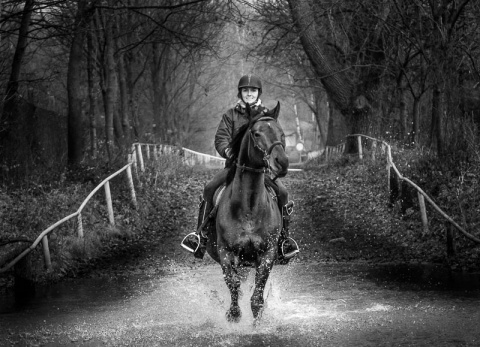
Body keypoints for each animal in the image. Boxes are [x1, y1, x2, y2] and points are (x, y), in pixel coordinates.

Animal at [205, 101, 288, 324]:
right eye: (257, 134)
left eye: (282, 133)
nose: (282, 162)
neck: (249, 208)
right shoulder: (226, 253)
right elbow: (233, 285)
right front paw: (233, 315)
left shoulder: (267, 253)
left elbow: (257, 296)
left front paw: (258, 321)